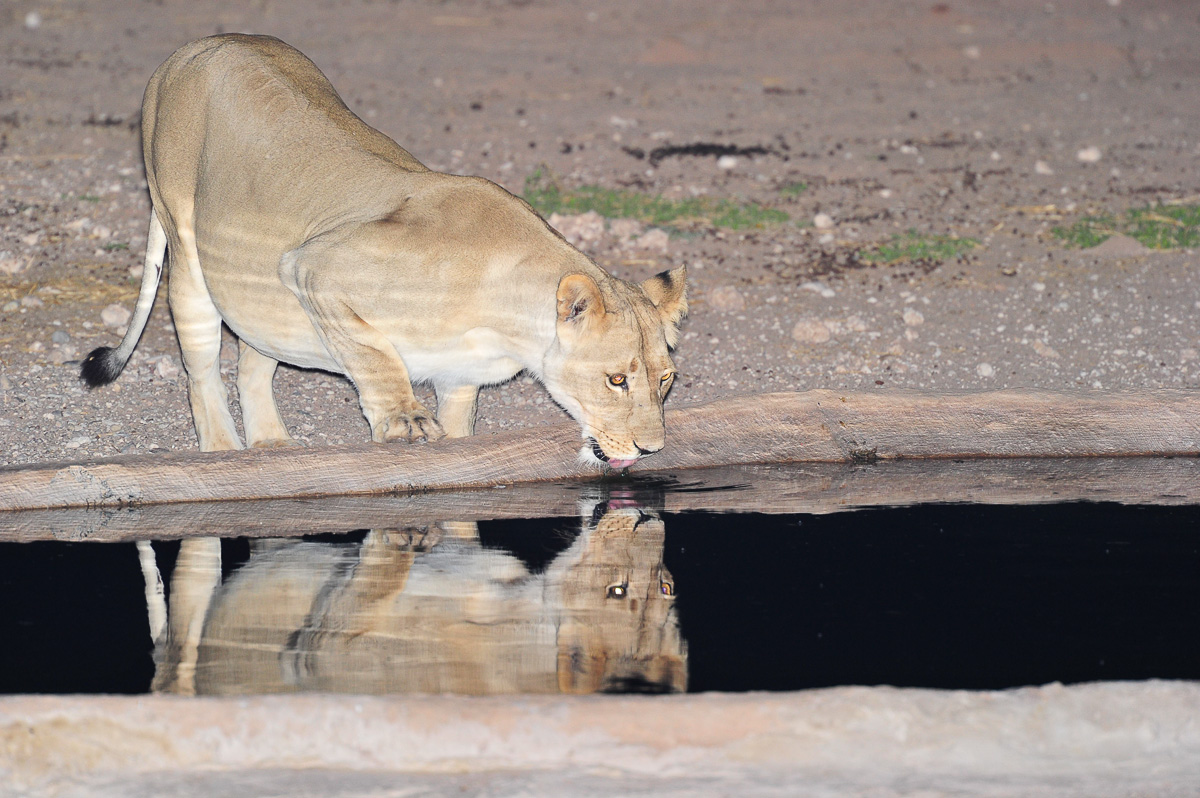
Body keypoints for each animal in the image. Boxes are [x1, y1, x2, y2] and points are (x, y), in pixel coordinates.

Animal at [81, 34, 687, 468]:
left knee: (253, 359)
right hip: (183, 240)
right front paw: (404, 420)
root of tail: (193, 48)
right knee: (202, 367)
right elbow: (375, 355)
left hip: (260, 295)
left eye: (665, 380)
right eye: (616, 380)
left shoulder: (459, 378)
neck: (512, 326)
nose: (651, 450)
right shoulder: (314, 266)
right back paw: (224, 453)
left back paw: (271, 449)